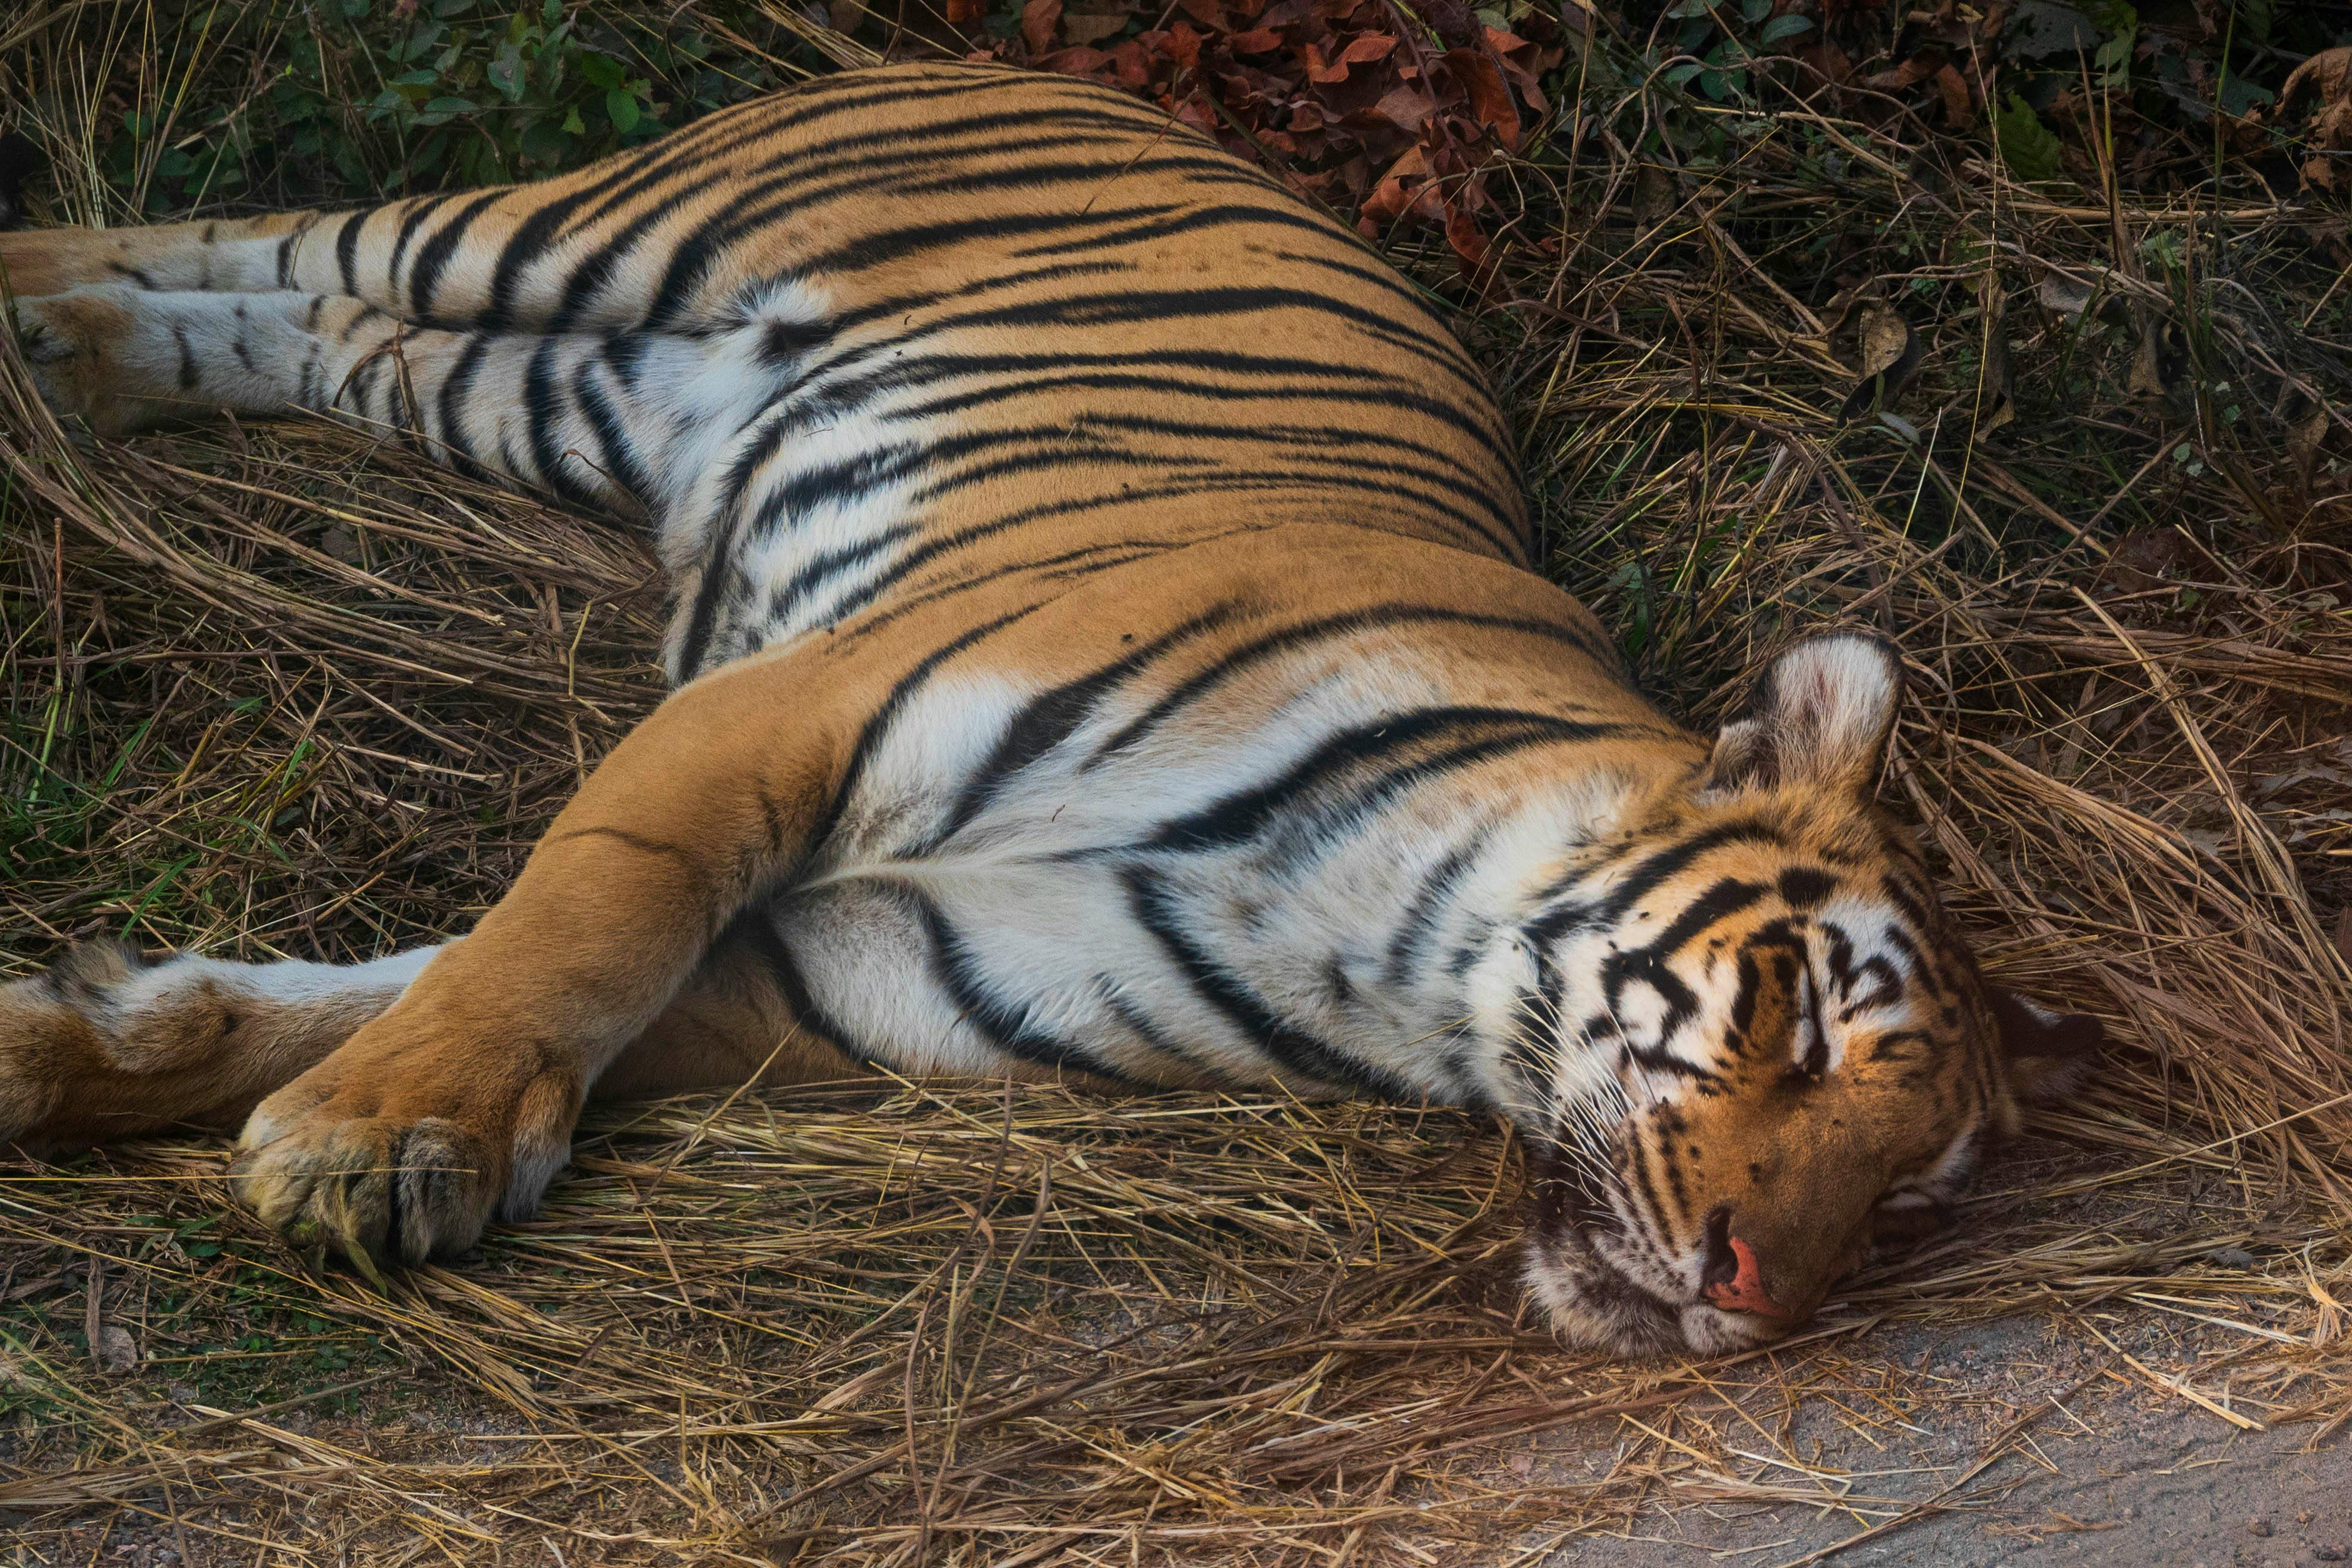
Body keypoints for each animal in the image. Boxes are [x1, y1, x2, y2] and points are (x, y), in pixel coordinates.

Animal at [0, 60, 2099, 1356]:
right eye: (1802, 1015)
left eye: (1909, 1205)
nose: (1753, 1295)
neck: (1395, 961)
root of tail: (1124, 91)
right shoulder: (787, 709)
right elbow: (563, 930)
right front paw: (385, 1142)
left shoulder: (848, 977)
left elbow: (373, 988)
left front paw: (78, 1052)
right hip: (586, 232)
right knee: (289, 231)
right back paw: (33, 294)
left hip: (547, 401)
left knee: (317, 329)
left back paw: (80, 367)